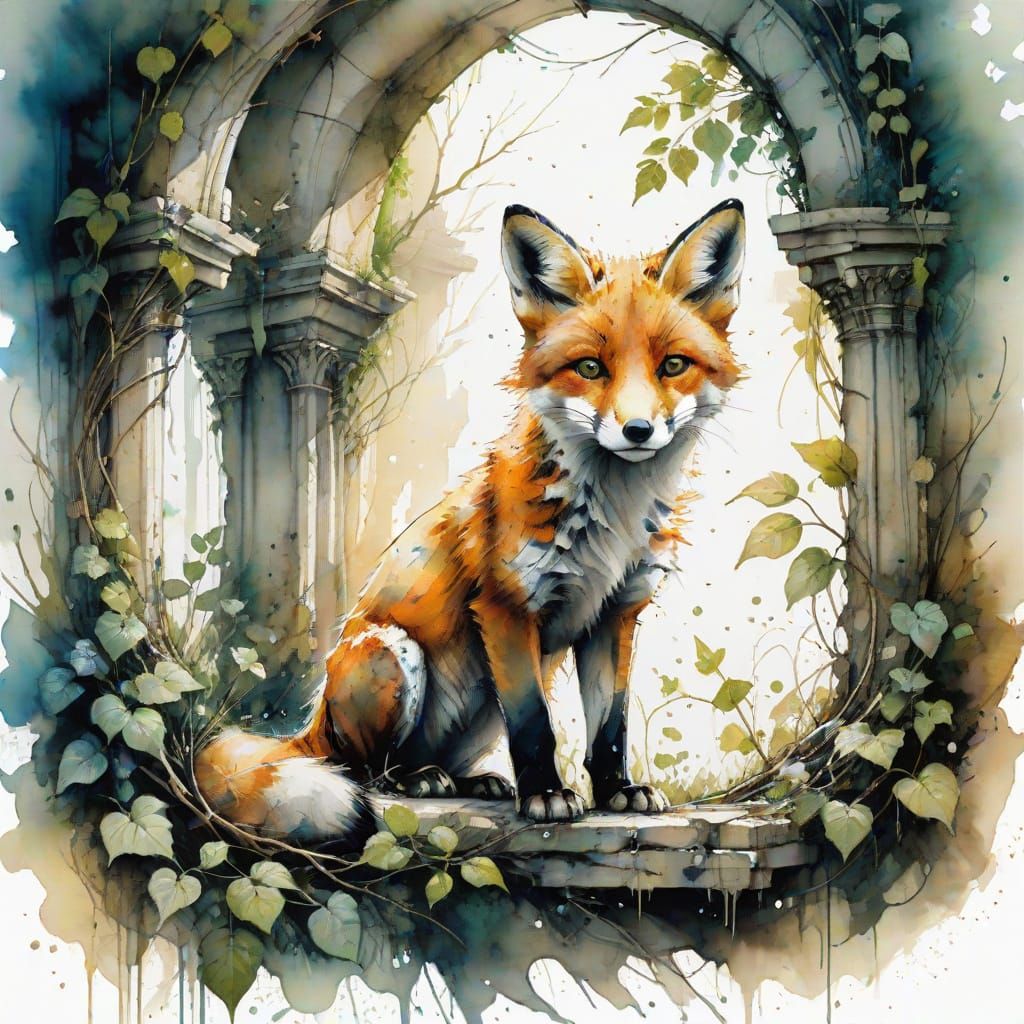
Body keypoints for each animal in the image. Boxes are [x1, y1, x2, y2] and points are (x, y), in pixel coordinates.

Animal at [195, 198, 745, 839]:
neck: (614, 518)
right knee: (362, 769)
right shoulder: (506, 607)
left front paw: (616, 792)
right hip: (393, 652)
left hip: (479, 704)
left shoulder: (616, 613)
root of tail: (312, 725)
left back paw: (468, 780)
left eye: (673, 365)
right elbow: (534, 727)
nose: (638, 431)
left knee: (443, 760)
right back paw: (412, 780)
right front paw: (548, 796)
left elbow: (610, 727)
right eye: (589, 368)